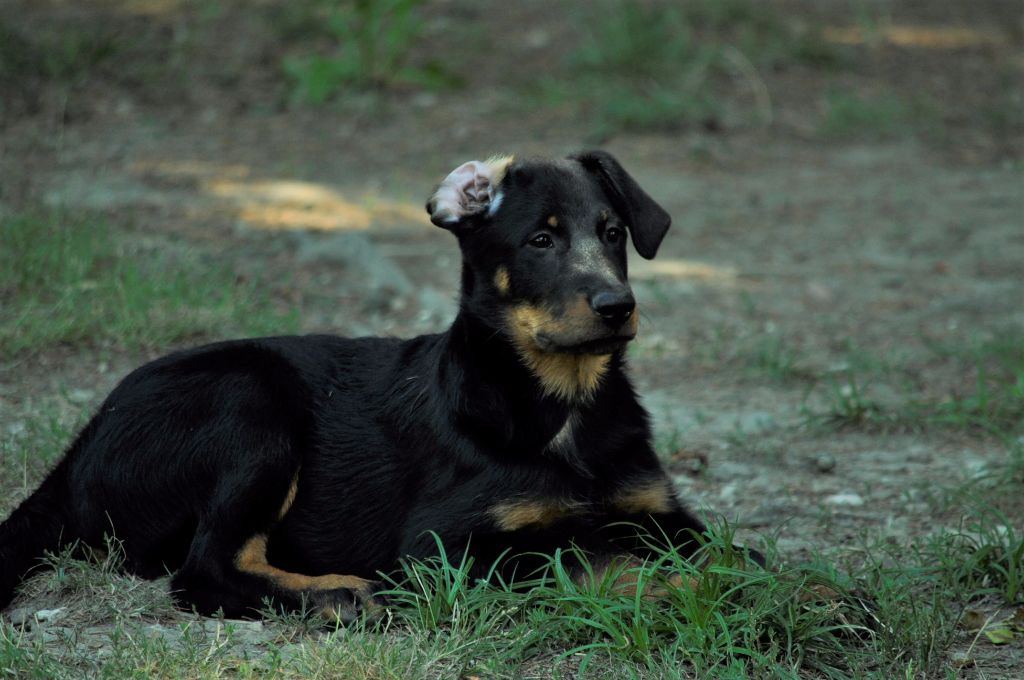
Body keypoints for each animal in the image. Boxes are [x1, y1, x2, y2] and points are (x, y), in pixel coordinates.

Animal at [0, 151, 757, 618]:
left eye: (613, 233)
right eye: (540, 242)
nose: (616, 307)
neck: (564, 403)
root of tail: (72, 462)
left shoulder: (657, 510)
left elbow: (729, 548)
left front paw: (757, 579)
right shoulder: (445, 546)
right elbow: (584, 557)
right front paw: (686, 588)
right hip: (250, 403)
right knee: (203, 572)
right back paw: (337, 596)